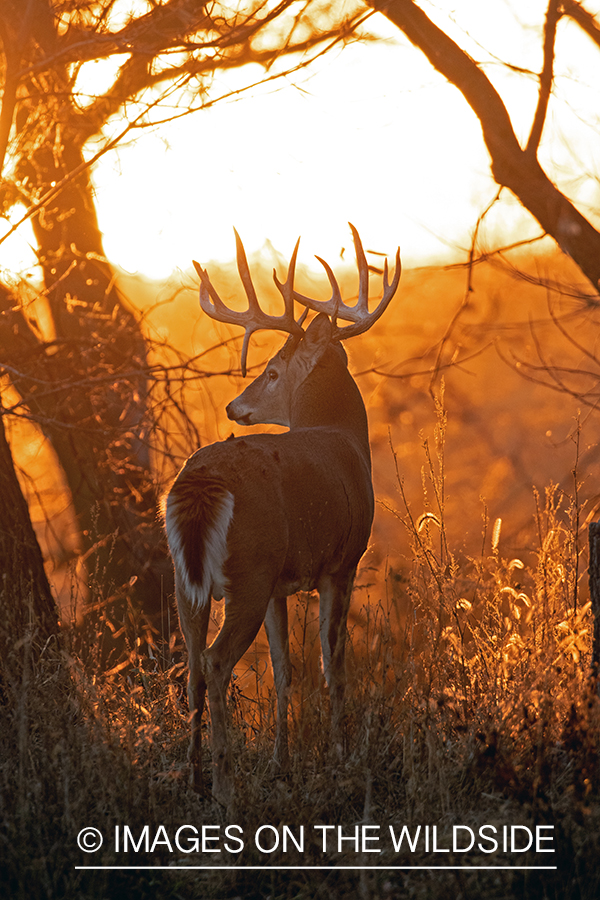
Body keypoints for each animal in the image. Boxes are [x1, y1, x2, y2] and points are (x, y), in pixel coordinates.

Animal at [164, 223, 400, 800]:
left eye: (271, 372)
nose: (234, 406)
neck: (344, 438)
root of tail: (200, 482)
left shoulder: (278, 583)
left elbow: (283, 667)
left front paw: (281, 761)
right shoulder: (341, 563)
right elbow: (332, 662)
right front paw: (340, 755)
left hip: (189, 579)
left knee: (192, 667)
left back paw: (196, 776)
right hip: (247, 572)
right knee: (216, 660)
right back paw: (225, 787)